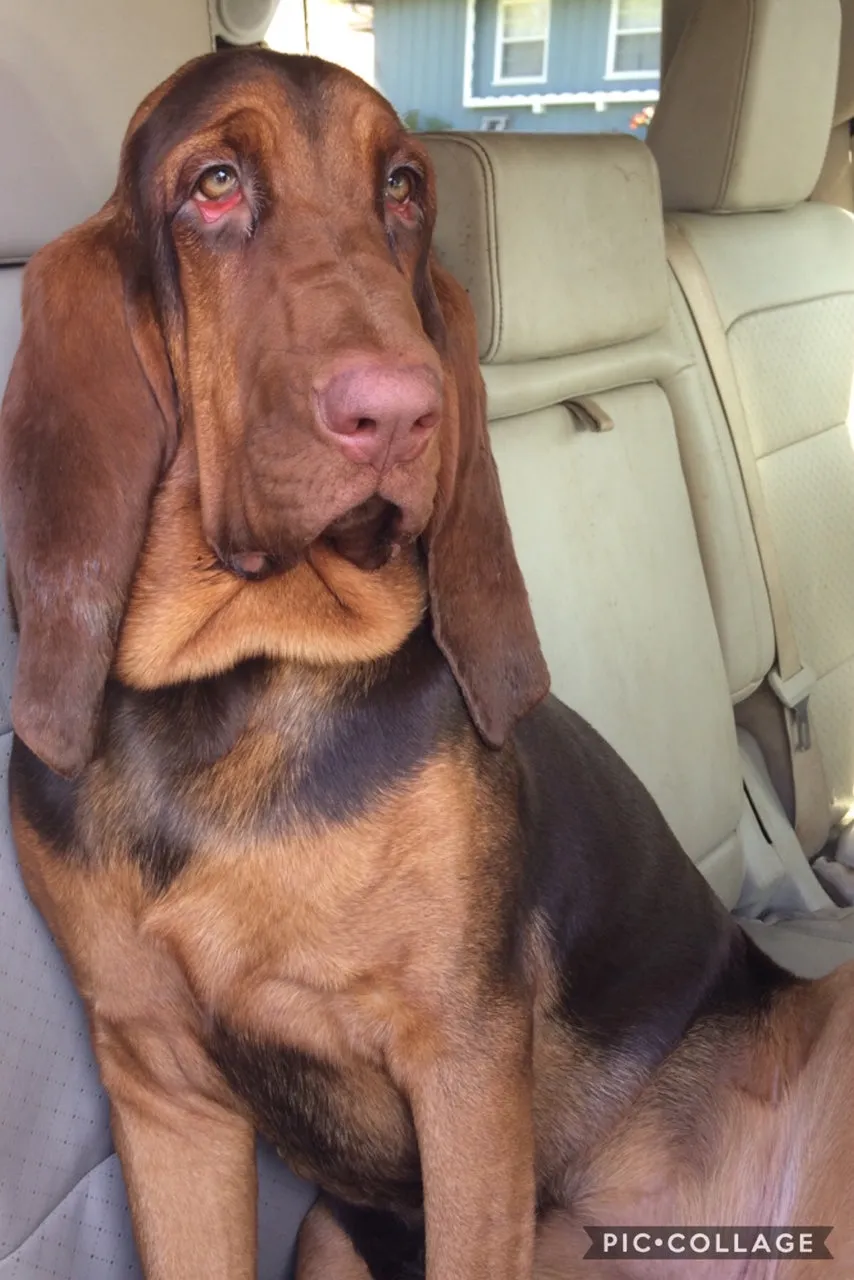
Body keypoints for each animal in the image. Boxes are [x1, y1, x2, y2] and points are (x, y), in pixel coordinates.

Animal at [1, 42, 854, 1280]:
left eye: (402, 188)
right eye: (214, 183)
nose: (404, 413)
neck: (233, 682)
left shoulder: (462, 1066)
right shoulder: (158, 1087)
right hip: (323, 1227)